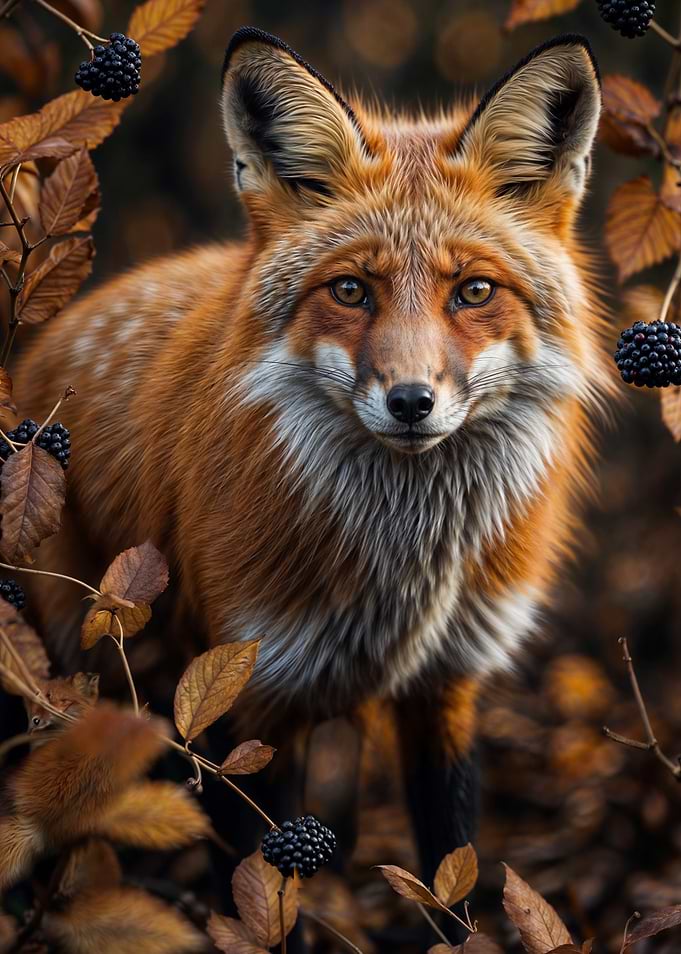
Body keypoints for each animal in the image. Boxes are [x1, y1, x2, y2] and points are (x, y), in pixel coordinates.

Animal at [14, 25, 608, 918]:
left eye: (473, 291)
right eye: (351, 291)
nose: (410, 401)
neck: (405, 574)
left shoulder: (446, 684)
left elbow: (454, 870)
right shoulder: (244, 694)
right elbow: (259, 898)